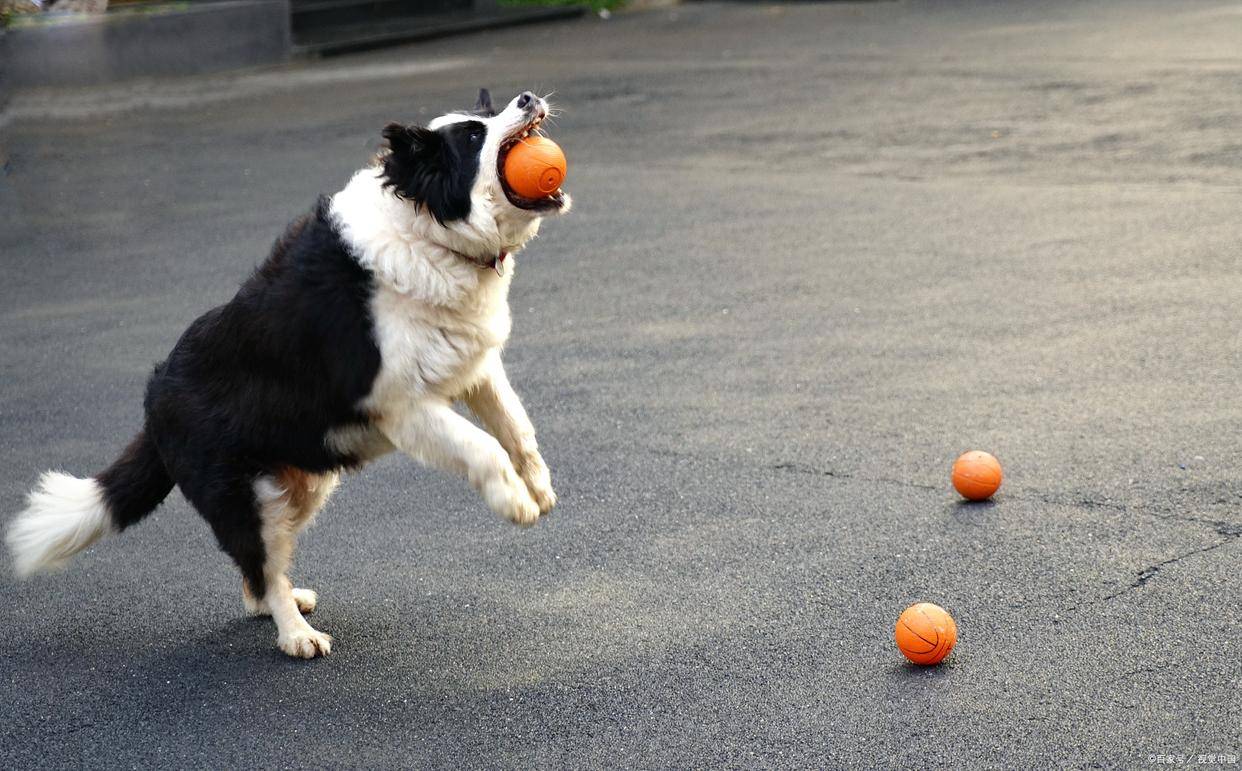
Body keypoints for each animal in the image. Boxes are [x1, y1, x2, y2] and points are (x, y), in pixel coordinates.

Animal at [3, 88, 568, 655]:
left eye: (488, 116)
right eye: (472, 136)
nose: (527, 97)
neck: (428, 232)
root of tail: (154, 404)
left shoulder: (475, 366)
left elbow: (517, 430)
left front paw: (538, 488)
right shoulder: (400, 405)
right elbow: (484, 447)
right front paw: (514, 503)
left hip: (303, 480)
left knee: (257, 576)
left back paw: (288, 606)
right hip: (255, 500)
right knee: (264, 568)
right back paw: (297, 635)